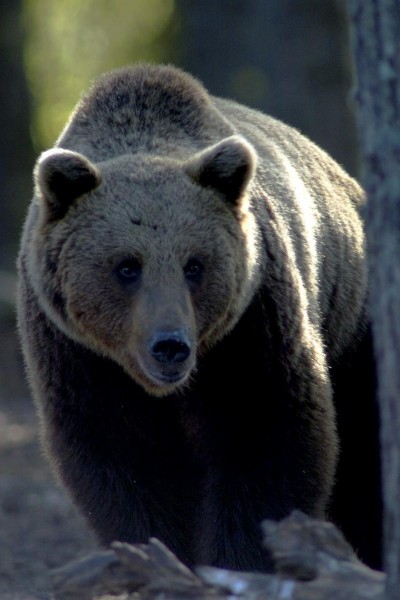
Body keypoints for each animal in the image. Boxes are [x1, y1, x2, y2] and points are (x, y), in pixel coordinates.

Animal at [18, 62, 382, 572]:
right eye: (127, 266)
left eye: (194, 265)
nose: (170, 345)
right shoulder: (78, 355)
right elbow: (122, 462)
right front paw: (157, 554)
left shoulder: (253, 326)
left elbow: (267, 441)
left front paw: (240, 561)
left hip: (352, 327)